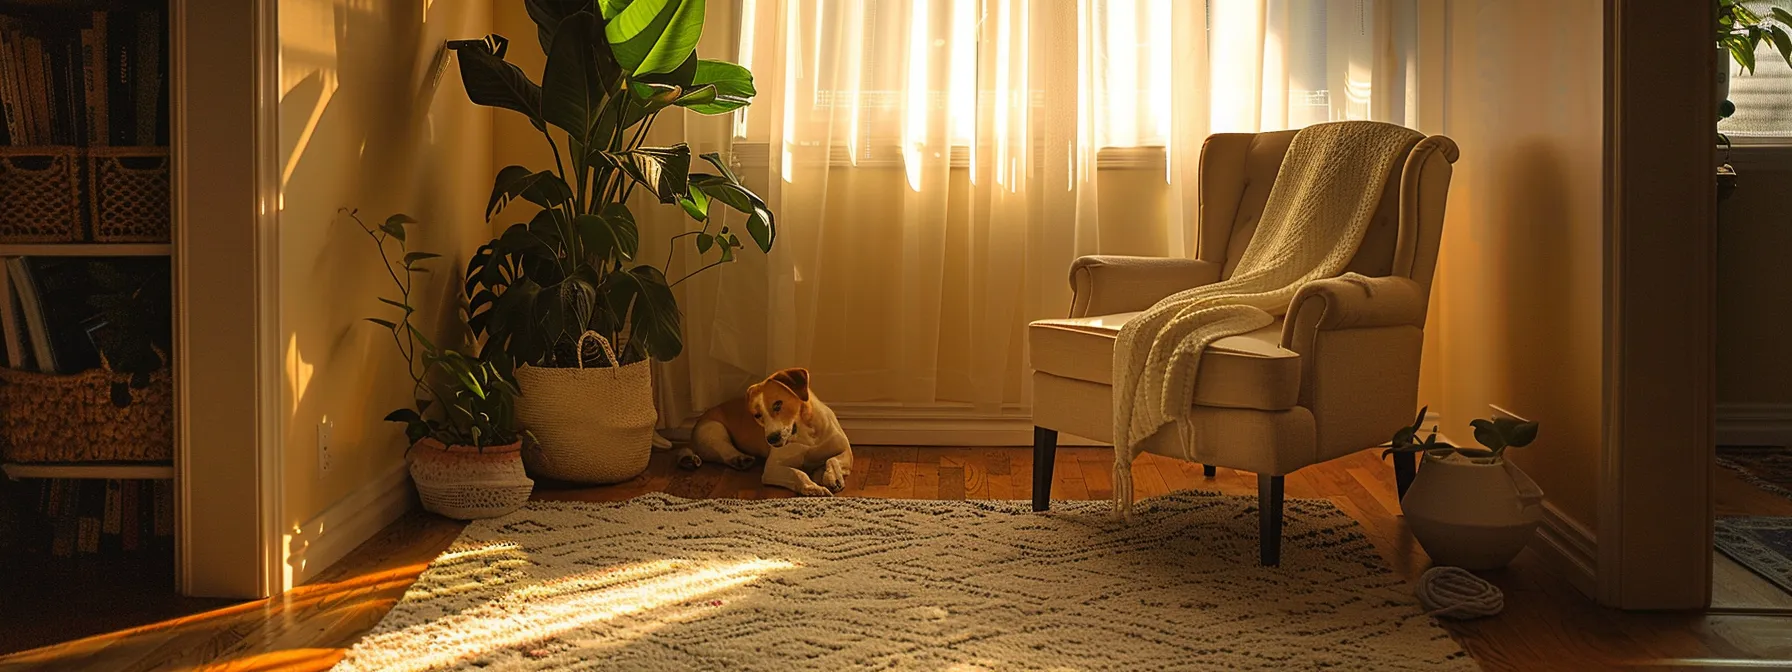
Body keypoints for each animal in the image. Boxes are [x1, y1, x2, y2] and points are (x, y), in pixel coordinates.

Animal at [673, 365, 852, 498]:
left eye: (778, 404)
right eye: (757, 415)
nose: (771, 439)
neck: (806, 436)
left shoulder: (846, 451)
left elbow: (832, 459)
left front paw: (830, 476)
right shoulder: (772, 468)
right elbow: (797, 473)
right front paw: (812, 487)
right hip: (715, 430)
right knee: (724, 451)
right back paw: (740, 459)